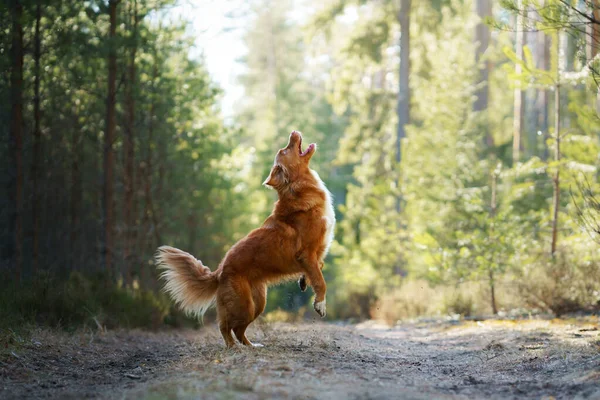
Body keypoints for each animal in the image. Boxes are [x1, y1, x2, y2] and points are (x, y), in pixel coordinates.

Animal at [157, 131, 336, 346]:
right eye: (285, 150)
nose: (293, 133)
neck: (298, 189)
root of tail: (219, 272)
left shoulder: (314, 256)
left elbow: (317, 269)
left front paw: (303, 280)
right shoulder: (306, 254)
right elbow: (320, 280)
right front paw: (320, 304)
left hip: (257, 303)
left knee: (238, 329)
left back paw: (251, 346)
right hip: (244, 304)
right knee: (226, 326)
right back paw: (233, 347)